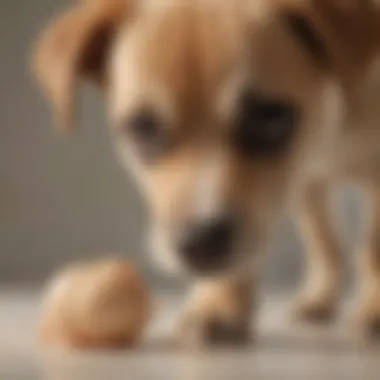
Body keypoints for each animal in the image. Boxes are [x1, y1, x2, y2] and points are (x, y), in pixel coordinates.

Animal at [31, 0, 380, 346]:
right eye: (142, 127)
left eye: (270, 116)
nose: (200, 242)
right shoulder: (293, 185)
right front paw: (220, 305)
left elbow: (372, 245)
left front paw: (375, 307)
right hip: (307, 190)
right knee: (324, 241)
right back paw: (319, 299)